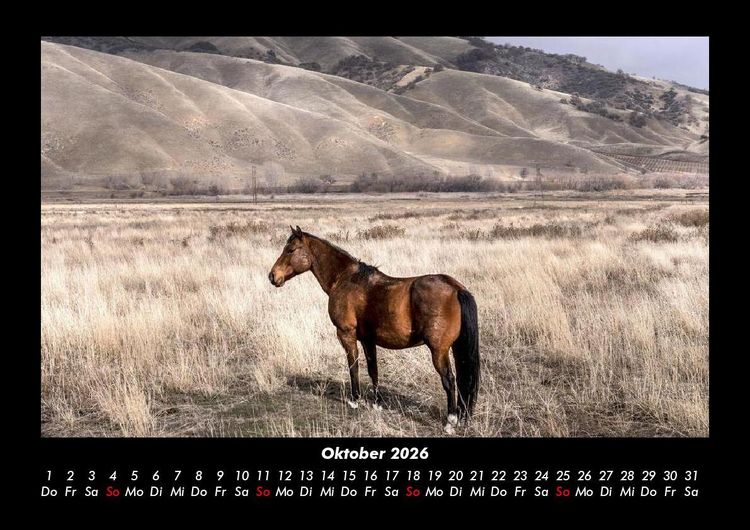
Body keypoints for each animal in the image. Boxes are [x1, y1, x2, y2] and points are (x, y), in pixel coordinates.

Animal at [268, 226, 480, 433]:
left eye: (290, 250)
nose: (272, 276)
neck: (345, 279)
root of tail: (456, 288)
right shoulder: (367, 339)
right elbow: (373, 370)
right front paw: (377, 403)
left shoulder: (346, 334)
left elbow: (353, 366)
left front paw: (355, 400)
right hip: (455, 348)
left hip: (438, 351)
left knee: (449, 380)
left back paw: (450, 422)